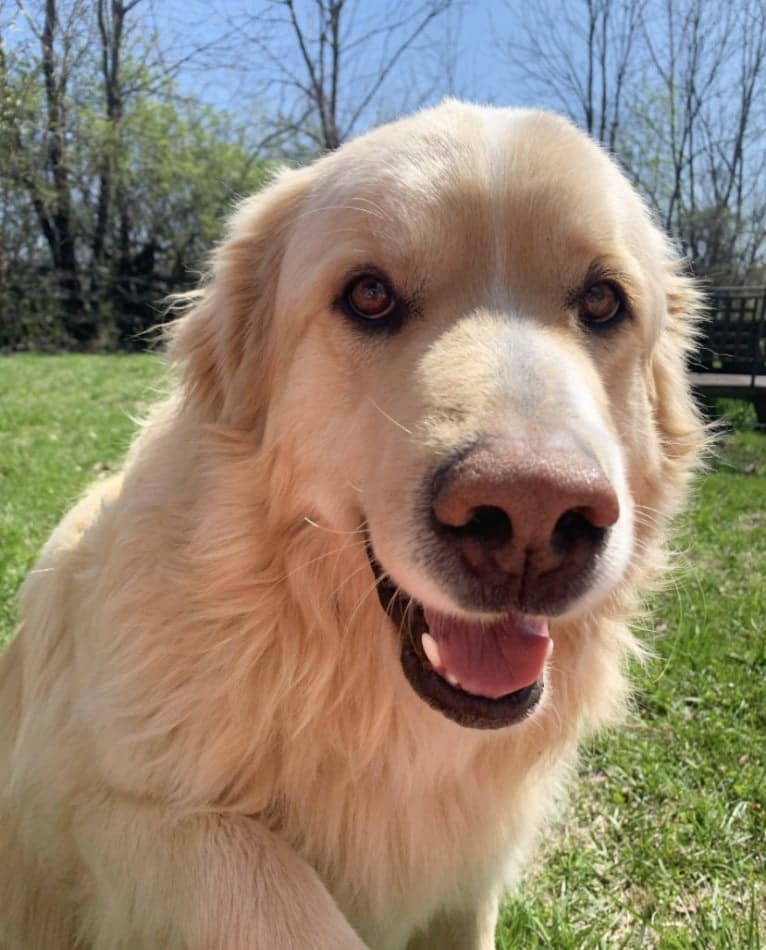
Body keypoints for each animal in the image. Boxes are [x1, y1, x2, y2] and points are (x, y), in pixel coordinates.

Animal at [0, 100, 708, 948]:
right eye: (368, 295)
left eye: (603, 301)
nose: (531, 512)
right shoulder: (97, 812)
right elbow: (259, 871)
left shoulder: (467, 881)